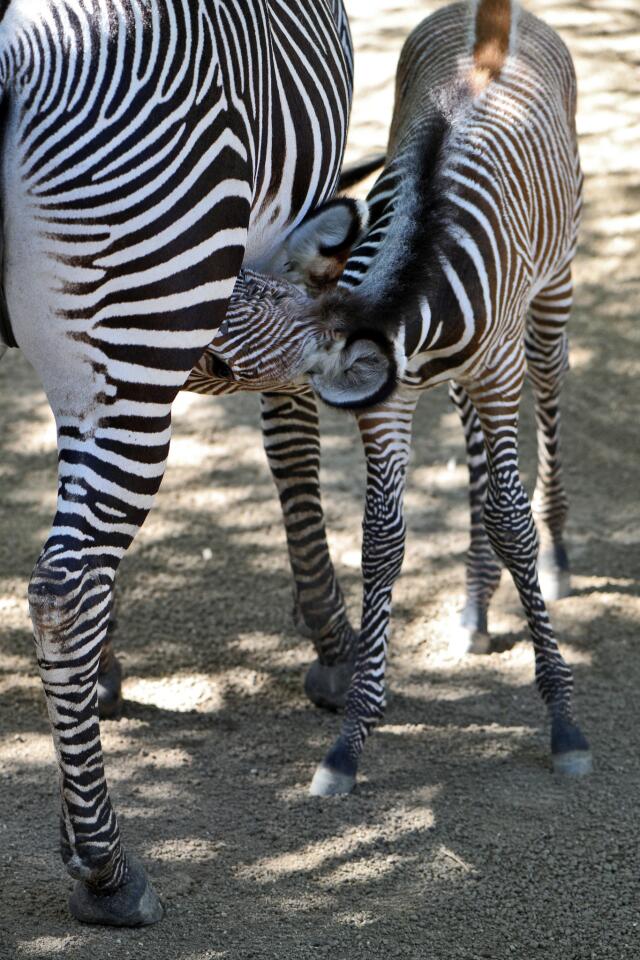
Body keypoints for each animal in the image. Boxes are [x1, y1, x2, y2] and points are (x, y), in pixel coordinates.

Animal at [0, 0, 396, 928]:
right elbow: (290, 438)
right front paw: (334, 643)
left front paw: (103, 679)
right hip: (145, 292)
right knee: (62, 588)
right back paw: (107, 869)